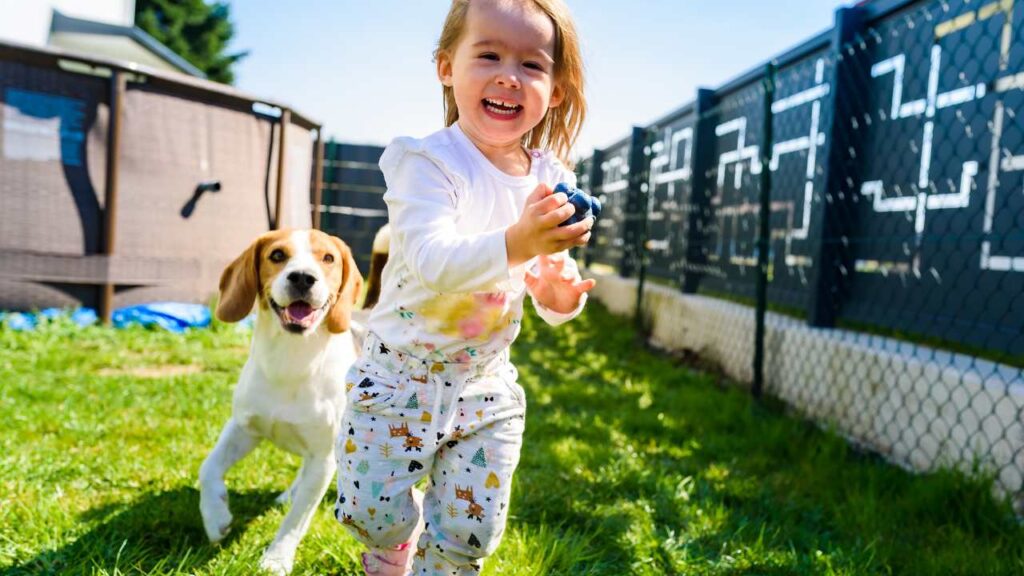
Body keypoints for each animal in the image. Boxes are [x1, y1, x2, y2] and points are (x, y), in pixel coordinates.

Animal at [197, 228, 362, 573]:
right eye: (277, 255)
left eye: (328, 258)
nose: (302, 278)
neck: (290, 361)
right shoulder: (243, 428)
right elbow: (208, 468)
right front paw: (216, 517)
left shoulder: (323, 456)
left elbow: (297, 520)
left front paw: (276, 559)